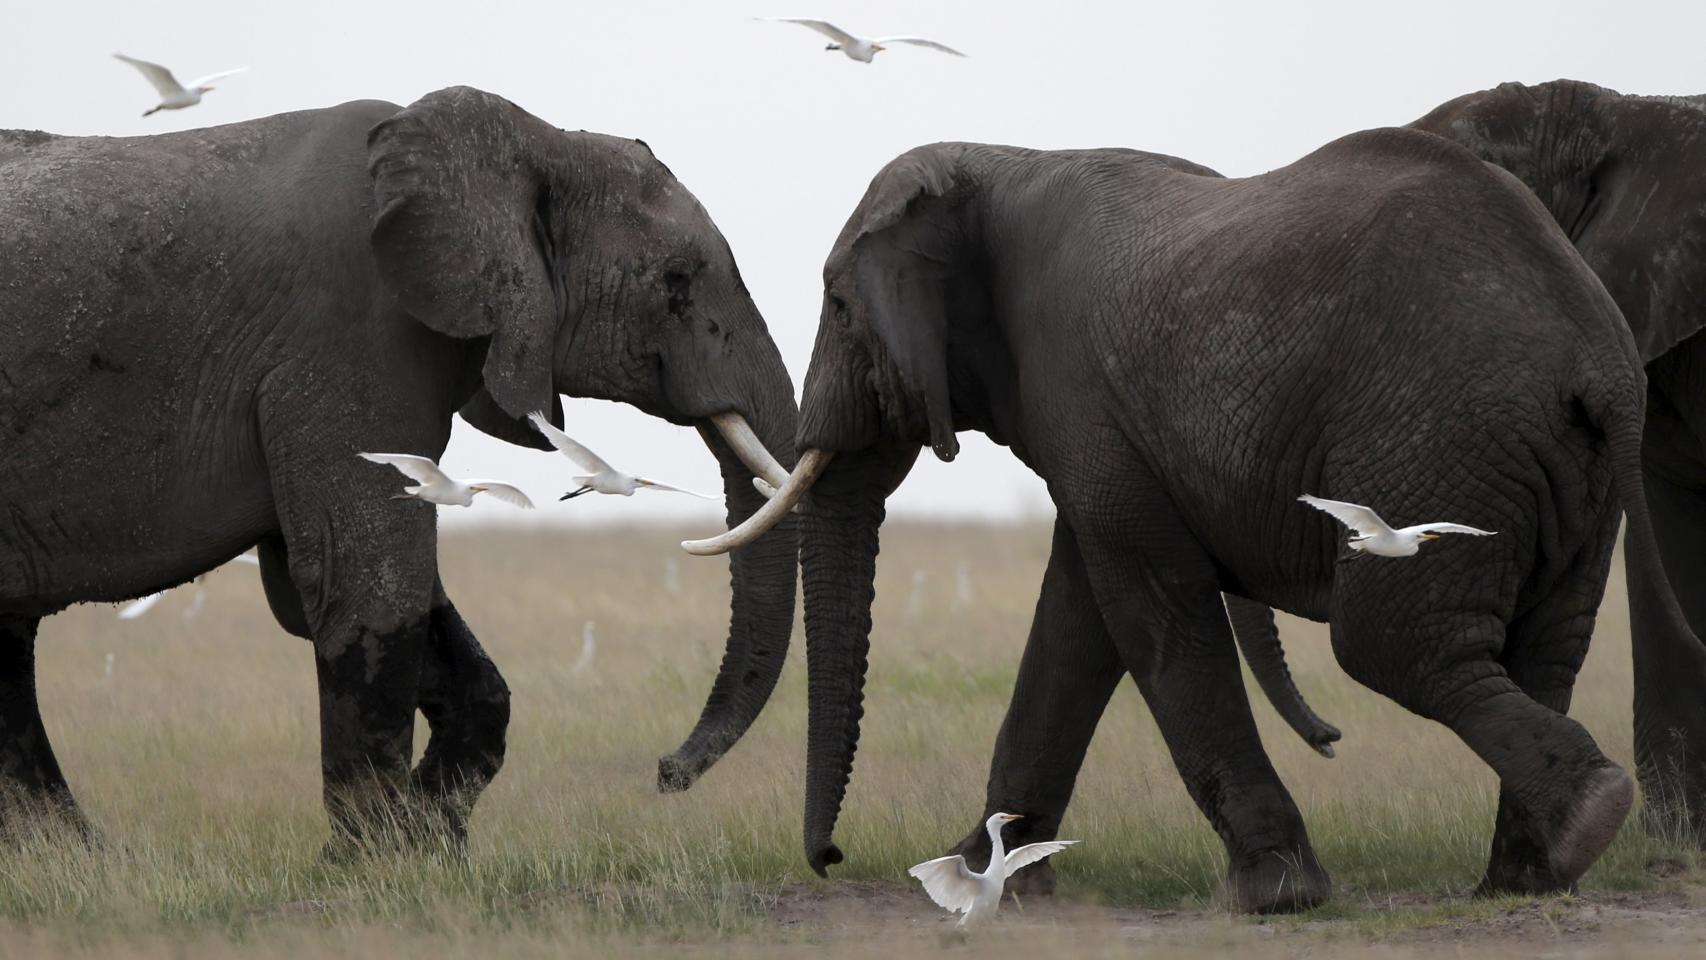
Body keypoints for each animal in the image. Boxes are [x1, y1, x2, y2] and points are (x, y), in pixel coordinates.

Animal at [0, 87, 800, 847]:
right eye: (676, 281)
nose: (667, 772)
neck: (526, 142)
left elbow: (348, 595)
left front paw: (432, 841)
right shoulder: (349, 339)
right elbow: (368, 584)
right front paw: (374, 859)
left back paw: (73, 857)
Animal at [692, 126, 1699, 912]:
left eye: (837, 304)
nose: (830, 859)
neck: (998, 161)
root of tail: (1588, 347)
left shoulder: (1077, 383)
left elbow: (1145, 606)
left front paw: (1276, 896)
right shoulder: (1103, 425)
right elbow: (1079, 615)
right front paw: (991, 878)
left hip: (1439, 434)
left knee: (1395, 646)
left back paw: (1585, 818)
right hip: (1569, 466)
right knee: (1545, 647)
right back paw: (1531, 874)